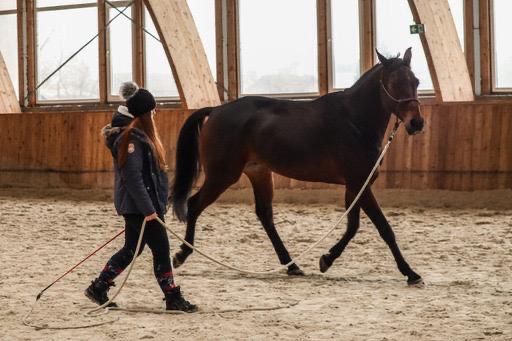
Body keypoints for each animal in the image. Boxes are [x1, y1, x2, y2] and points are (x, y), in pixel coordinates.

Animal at [170, 47, 422, 282]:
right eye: (394, 83)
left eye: (416, 82)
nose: (416, 123)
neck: (354, 120)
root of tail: (217, 110)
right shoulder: (358, 183)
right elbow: (383, 228)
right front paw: (410, 272)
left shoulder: (357, 186)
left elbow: (353, 226)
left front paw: (326, 259)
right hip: (222, 175)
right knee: (194, 204)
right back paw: (182, 254)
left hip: (260, 173)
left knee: (265, 216)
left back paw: (292, 265)